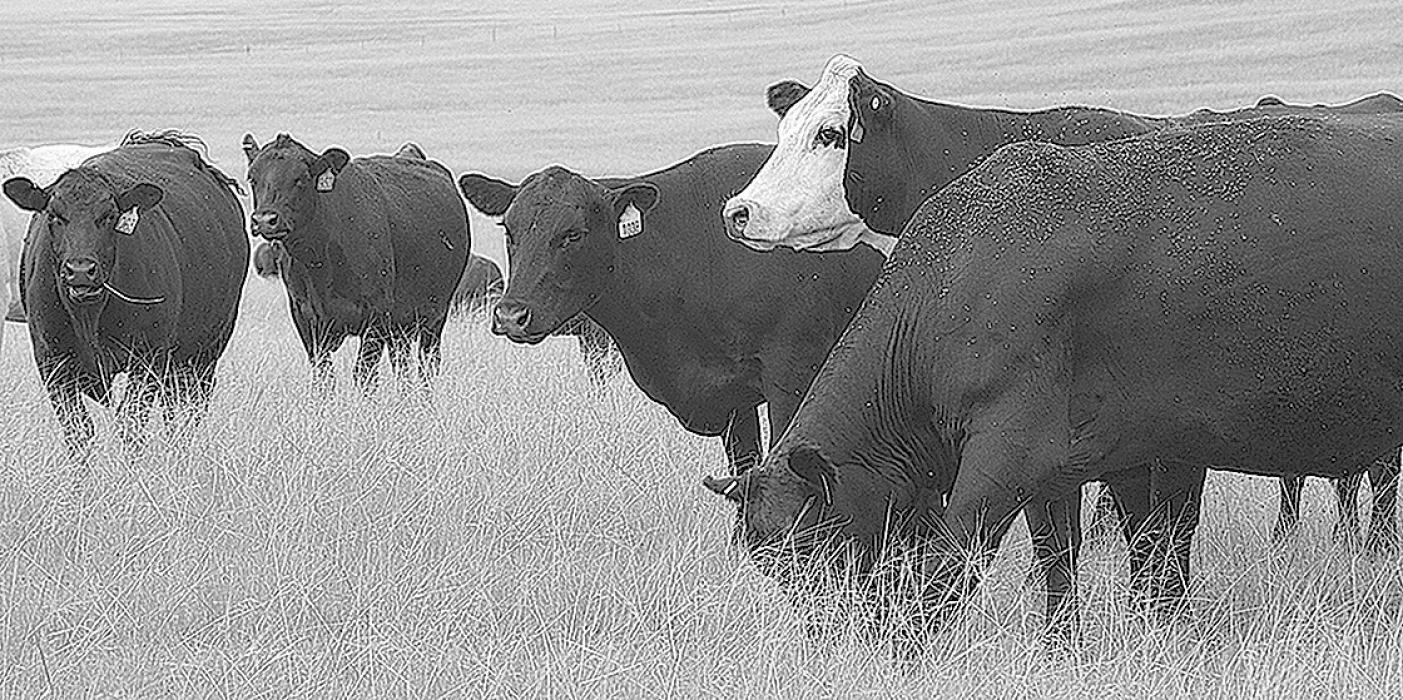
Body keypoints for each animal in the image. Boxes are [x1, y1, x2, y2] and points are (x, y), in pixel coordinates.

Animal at [242, 134, 469, 390]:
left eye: (300, 178)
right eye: (252, 177)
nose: (265, 219)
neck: (319, 263)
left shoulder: (377, 314)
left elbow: (364, 375)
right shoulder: (304, 317)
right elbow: (323, 376)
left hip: (435, 316)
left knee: (428, 366)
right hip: (401, 326)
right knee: (401, 365)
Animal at [703, 115, 1403, 640]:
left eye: (808, 549)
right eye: (770, 566)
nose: (825, 634)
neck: (953, 284)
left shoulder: (1008, 452)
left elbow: (951, 559)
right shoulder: (1085, 461)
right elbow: (1086, 557)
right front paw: (1072, 645)